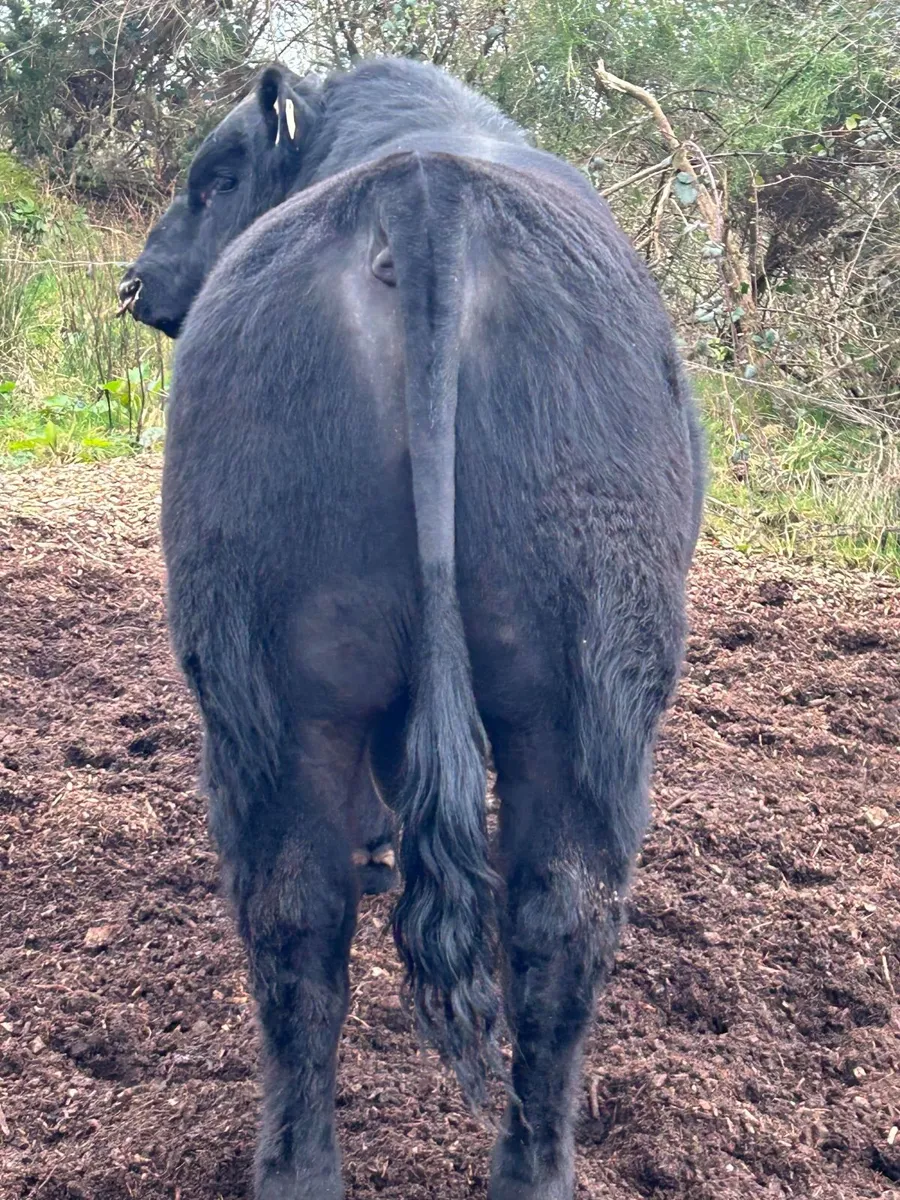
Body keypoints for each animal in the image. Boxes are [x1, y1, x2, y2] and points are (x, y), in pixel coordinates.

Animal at [119, 56, 704, 1200]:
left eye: (218, 180)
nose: (135, 282)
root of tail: (430, 193)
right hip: (582, 693)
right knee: (536, 918)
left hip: (274, 685)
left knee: (310, 908)